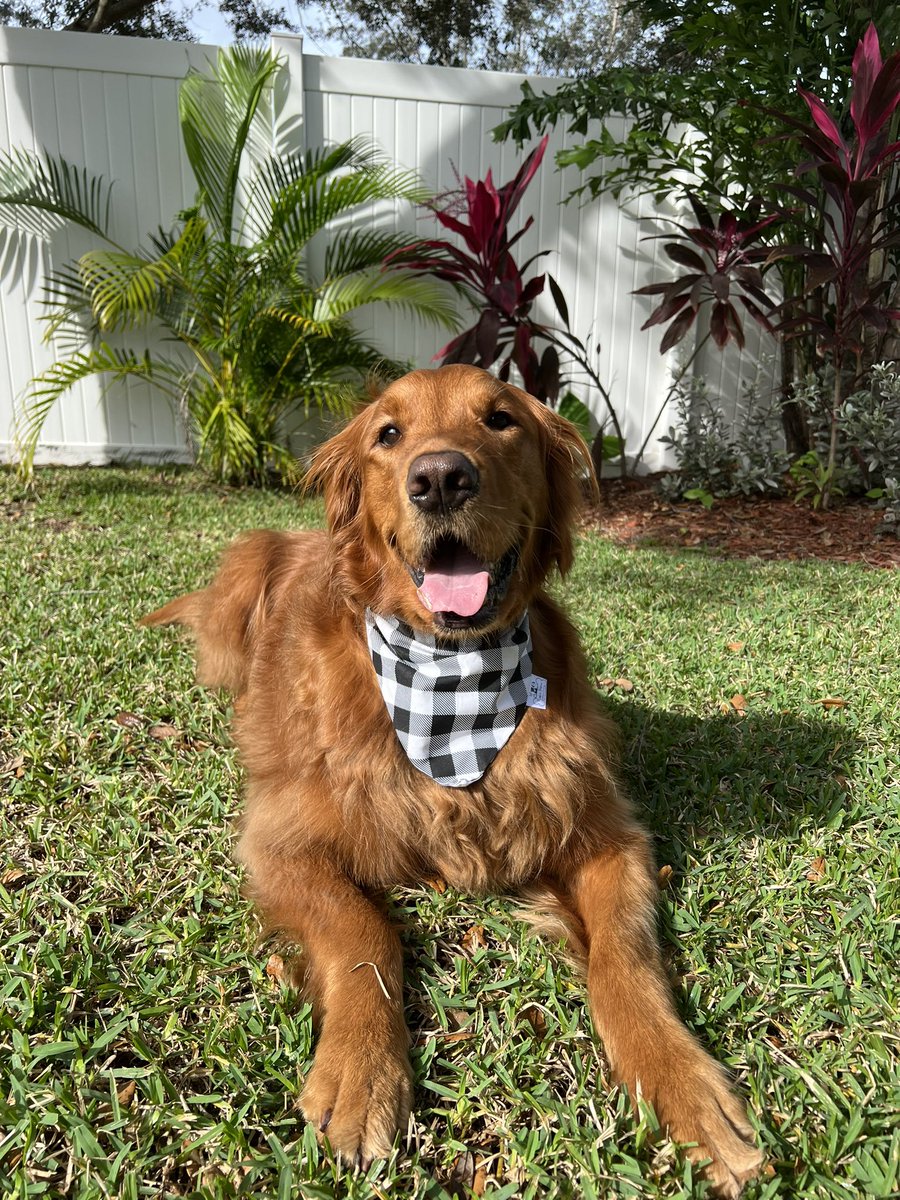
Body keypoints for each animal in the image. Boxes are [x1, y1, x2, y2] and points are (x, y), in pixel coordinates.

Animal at [144, 364, 763, 1200]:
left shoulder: (609, 836)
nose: (440, 479)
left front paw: (683, 1083)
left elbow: (624, 957)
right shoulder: (282, 842)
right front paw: (361, 1074)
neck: (453, 682)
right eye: (388, 433)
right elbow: (362, 931)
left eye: (500, 419)